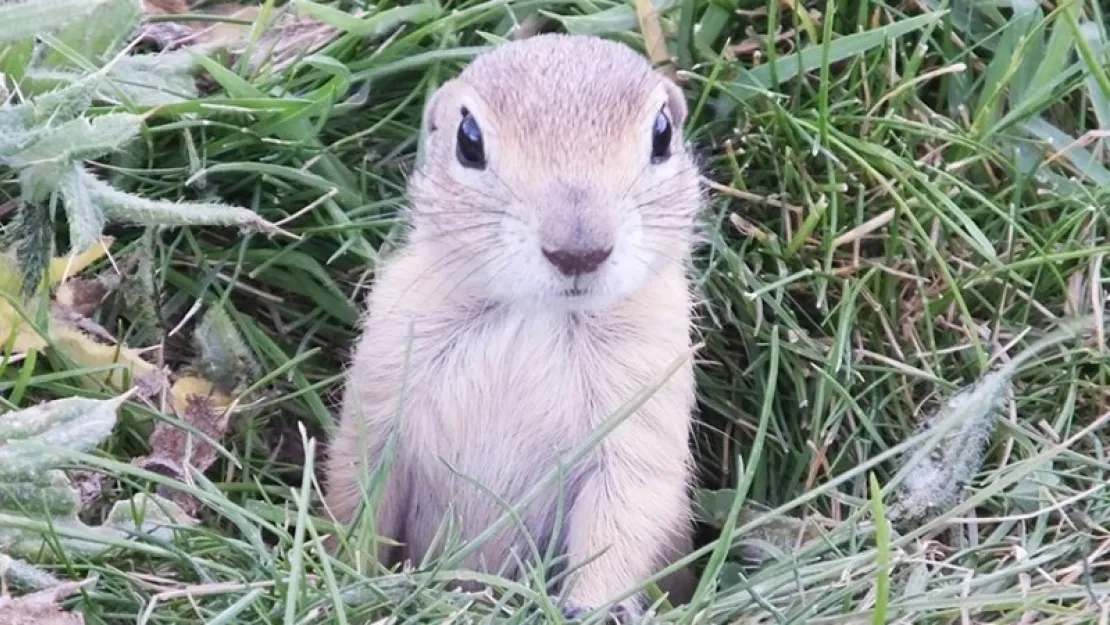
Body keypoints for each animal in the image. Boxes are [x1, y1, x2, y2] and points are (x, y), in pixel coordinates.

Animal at [324, 33, 701, 617]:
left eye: (662, 134)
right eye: (469, 140)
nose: (578, 250)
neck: (535, 312)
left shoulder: (644, 405)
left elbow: (622, 520)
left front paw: (590, 608)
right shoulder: (385, 380)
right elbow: (360, 487)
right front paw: (347, 578)